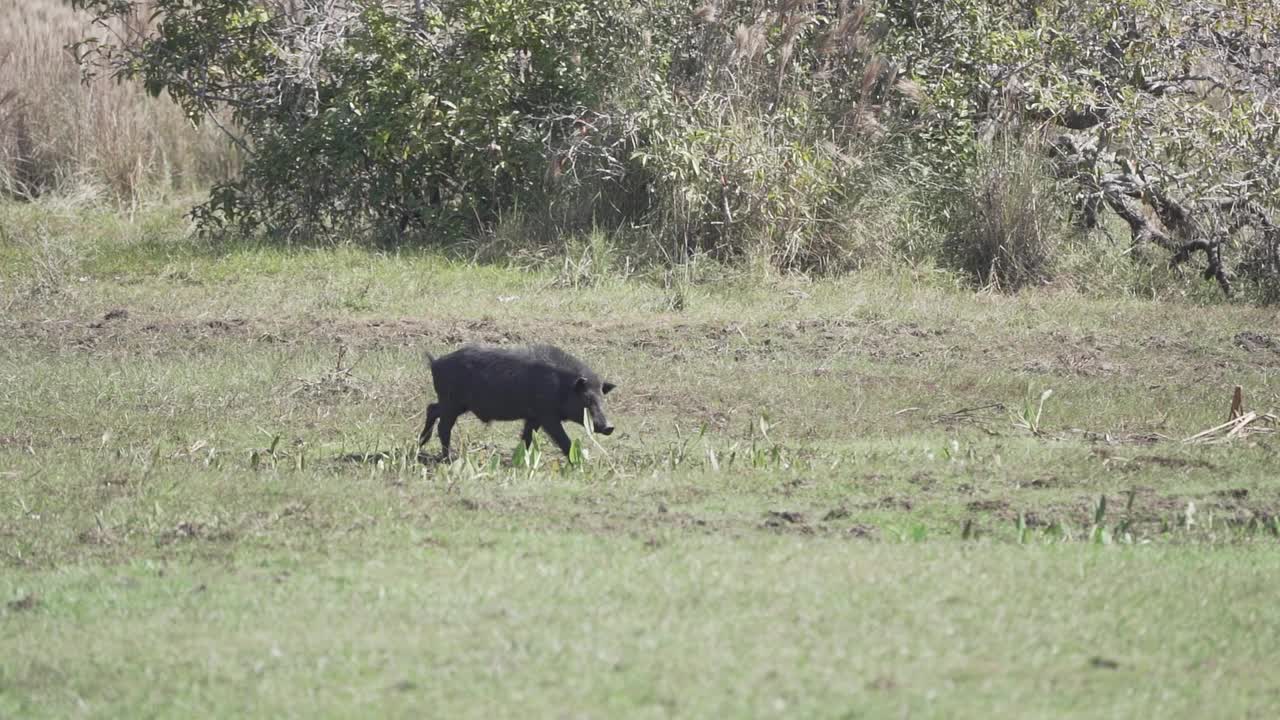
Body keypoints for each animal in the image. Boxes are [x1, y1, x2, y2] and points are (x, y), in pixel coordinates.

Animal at [417, 345, 616, 456]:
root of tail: (435, 363)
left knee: (431, 408)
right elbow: (564, 440)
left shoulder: (533, 418)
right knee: (443, 427)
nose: (609, 427)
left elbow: (526, 438)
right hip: (452, 402)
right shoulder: (547, 416)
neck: (561, 387)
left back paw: (422, 444)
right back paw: (448, 459)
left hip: (453, 403)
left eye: (602, 398)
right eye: (587, 399)